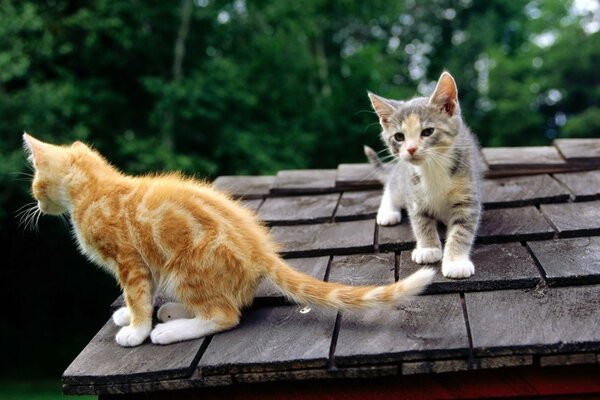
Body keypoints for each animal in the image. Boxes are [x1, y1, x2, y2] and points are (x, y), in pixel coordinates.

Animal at [23, 134, 436, 346]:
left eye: (35, 183)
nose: (36, 203)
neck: (96, 192)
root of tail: (260, 250)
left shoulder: (129, 260)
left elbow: (138, 293)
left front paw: (136, 329)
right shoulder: (144, 262)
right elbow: (142, 293)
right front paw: (128, 313)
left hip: (186, 267)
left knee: (225, 315)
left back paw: (170, 329)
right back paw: (173, 311)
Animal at [366, 72, 482, 278]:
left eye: (428, 132)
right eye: (399, 137)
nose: (411, 149)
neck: (432, 167)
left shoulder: (468, 196)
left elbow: (462, 229)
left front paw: (456, 261)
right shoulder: (414, 195)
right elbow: (421, 223)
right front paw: (428, 248)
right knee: (391, 185)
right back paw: (388, 211)